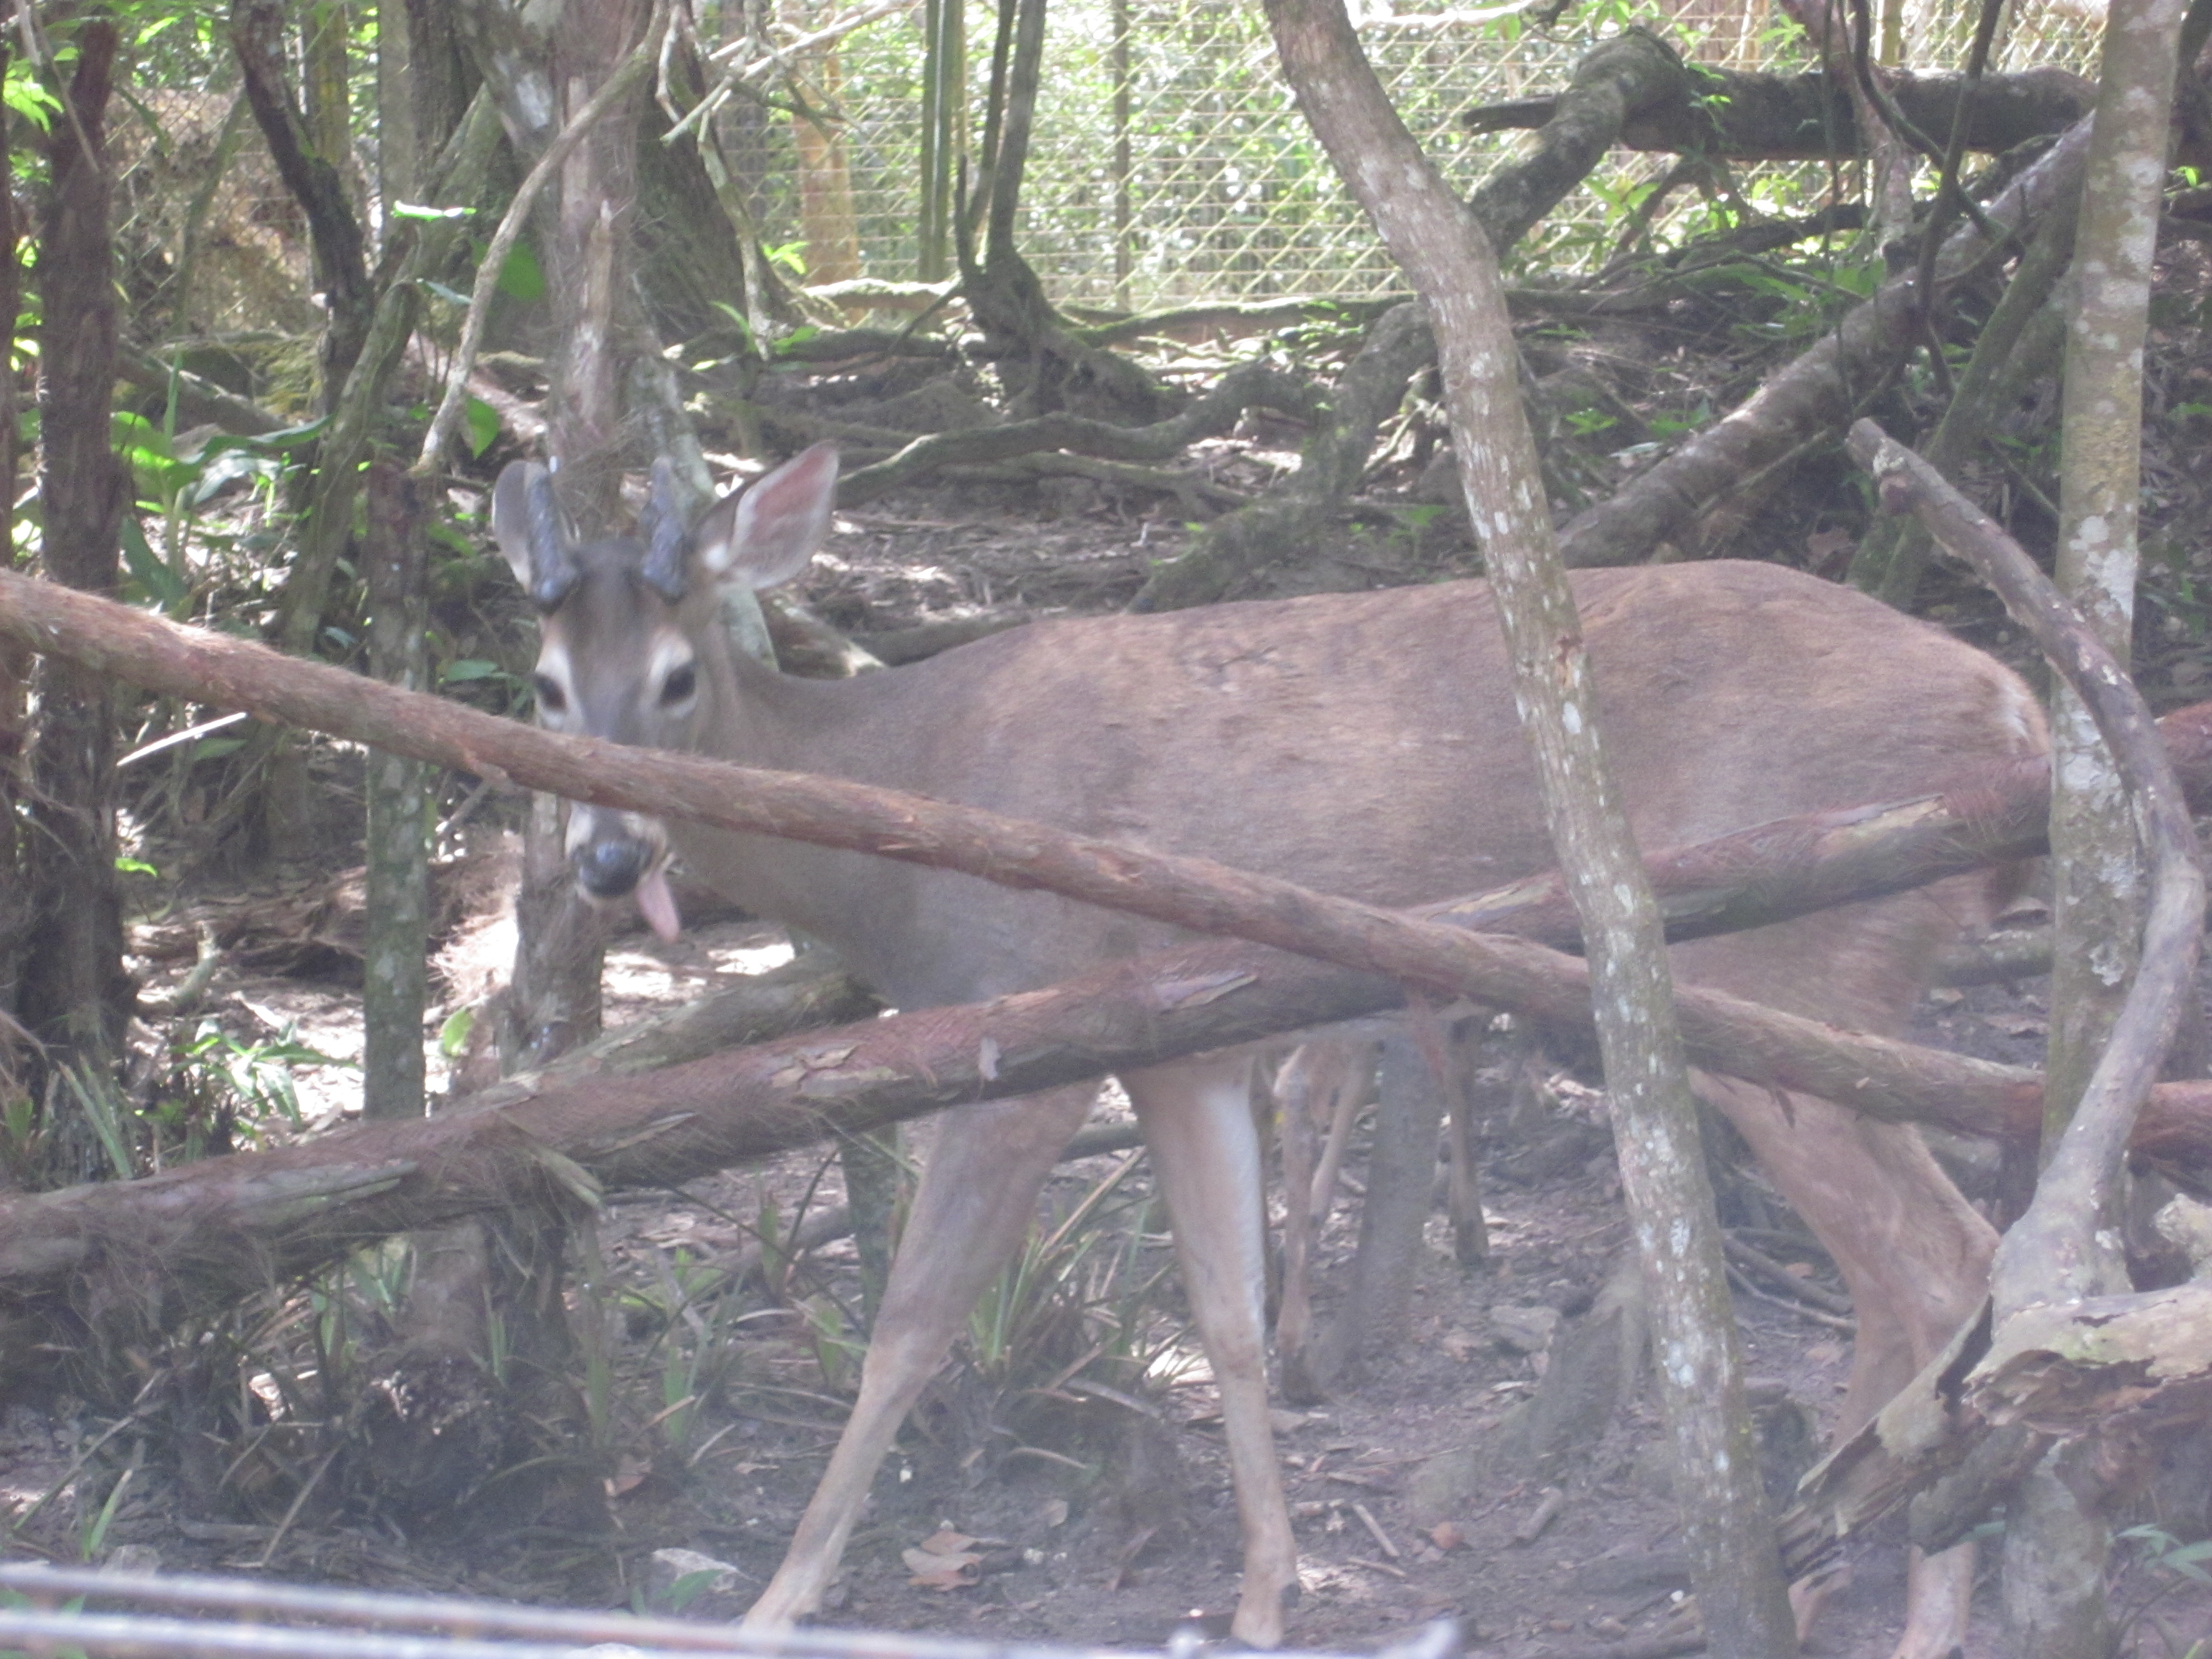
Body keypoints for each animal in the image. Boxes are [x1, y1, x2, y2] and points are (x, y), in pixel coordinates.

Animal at [494, 442, 2046, 1659]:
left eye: (678, 679)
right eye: (545, 686)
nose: (609, 857)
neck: (901, 811)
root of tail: (2014, 710)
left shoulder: (1025, 1018)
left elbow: (907, 1328)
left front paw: (775, 1600)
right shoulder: (1174, 1046)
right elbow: (1224, 1314)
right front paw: (1264, 1590)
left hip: (1784, 960)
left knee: (1946, 1261)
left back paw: (1914, 1605)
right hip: (1830, 999)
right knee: (1894, 1278)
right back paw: (1814, 1553)